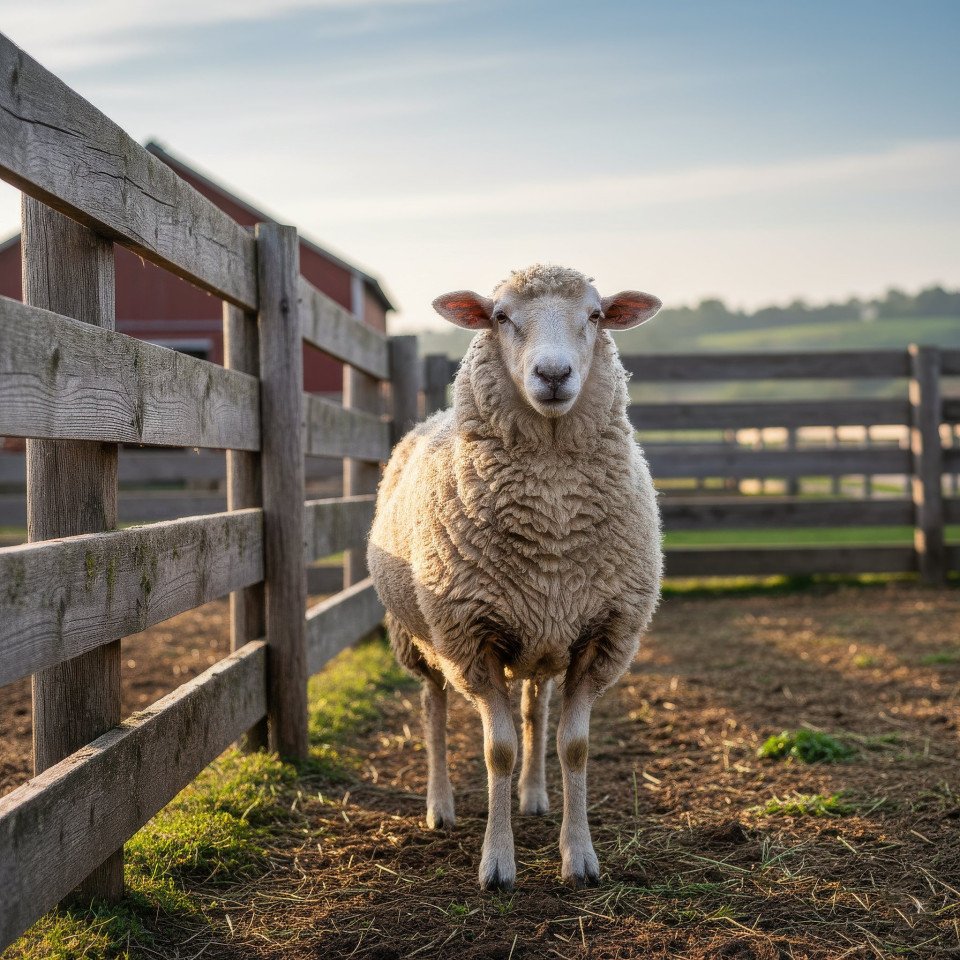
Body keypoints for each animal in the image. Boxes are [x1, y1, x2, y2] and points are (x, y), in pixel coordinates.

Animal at [367, 264, 662, 890]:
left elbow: (574, 746)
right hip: (419, 637)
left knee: (534, 709)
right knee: (433, 712)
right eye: (500, 316)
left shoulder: (600, 636)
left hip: (544, 633)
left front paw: (579, 857)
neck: (551, 517)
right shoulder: (470, 639)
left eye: (596, 315)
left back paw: (532, 796)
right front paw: (498, 863)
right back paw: (440, 807)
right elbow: (496, 750)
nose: (552, 374)